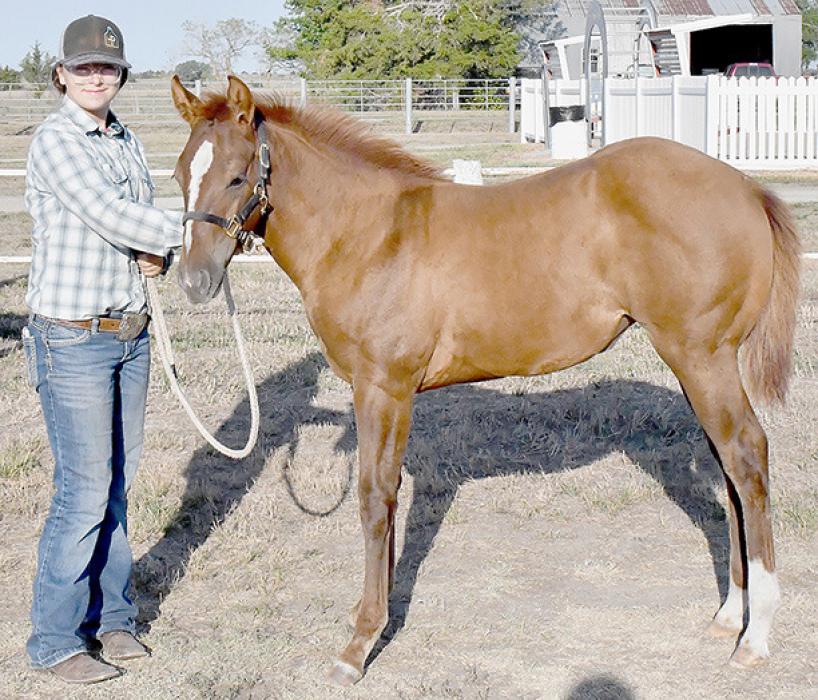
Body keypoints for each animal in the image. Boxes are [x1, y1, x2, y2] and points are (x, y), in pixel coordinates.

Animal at [170, 75, 801, 685]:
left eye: (237, 175)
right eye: (179, 175)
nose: (195, 281)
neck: (369, 235)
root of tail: (746, 188)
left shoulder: (383, 388)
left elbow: (375, 499)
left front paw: (360, 642)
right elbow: (389, 501)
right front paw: (374, 617)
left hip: (702, 357)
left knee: (747, 458)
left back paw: (756, 635)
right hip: (700, 367)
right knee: (729, 469)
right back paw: (730, 615)